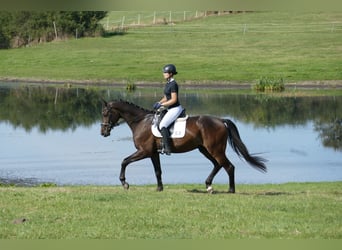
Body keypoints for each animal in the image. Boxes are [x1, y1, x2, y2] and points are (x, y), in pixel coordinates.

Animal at [100, 99, 266, 193]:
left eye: (105, 113)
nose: (103, 132)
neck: (140, 121)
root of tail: (221, 120)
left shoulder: (144, 151)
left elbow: (124, 161)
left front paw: (124, 183)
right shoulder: (153, 153)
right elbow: (158, 171)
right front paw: (159, 188)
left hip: (215, 149)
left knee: (228, 166)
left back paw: (231, 190)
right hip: (205, 149)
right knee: (218, 165)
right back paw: (208, 186)